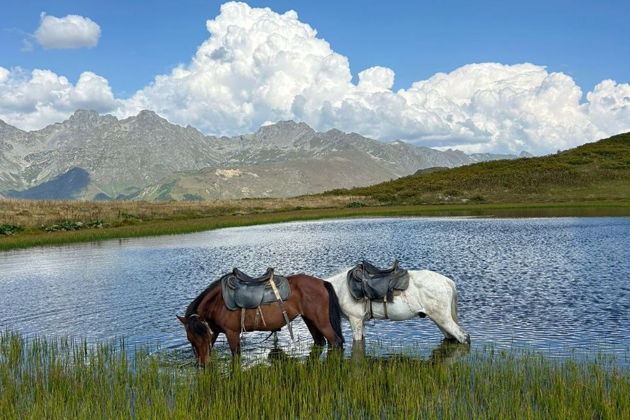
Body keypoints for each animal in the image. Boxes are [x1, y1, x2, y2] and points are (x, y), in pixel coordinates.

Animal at [178, 272, 346, 364]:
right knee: (320, 342)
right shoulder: (215, 332)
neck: (218, 302)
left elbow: (235, 357)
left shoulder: (232, 333)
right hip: (310, 320)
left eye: (202, 337)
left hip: (322, 322)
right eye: (190, 339)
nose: (203, 364)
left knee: (336, 342)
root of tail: (322, 282)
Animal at [328, 270, 472, 344]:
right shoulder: (361, 321)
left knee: (463, 337)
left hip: (442, 318)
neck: (340, 288)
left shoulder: (355, 319)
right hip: (439, 320)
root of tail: (448, 281)